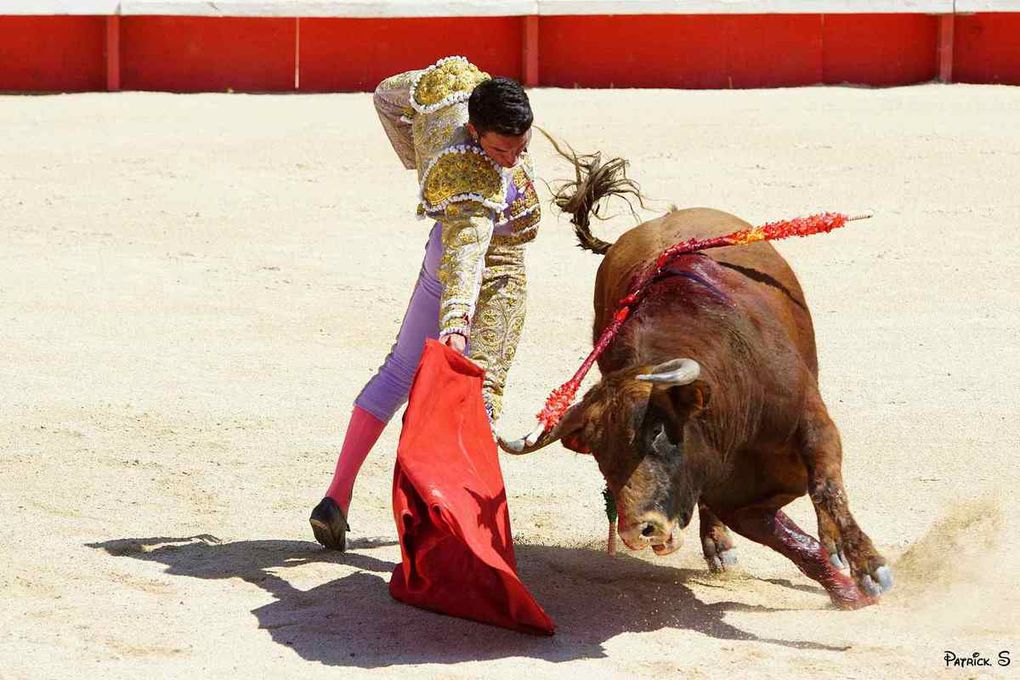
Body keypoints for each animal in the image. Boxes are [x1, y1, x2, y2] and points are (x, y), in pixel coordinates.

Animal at [501, 151, 893, 607]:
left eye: (655, 430)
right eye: (598, 453)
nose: (640, 530)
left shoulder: (812, 422)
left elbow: (826, 487)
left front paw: (868, 570)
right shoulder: (738, 502)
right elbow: (788, 539)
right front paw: (845, 588)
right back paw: (719, 547)